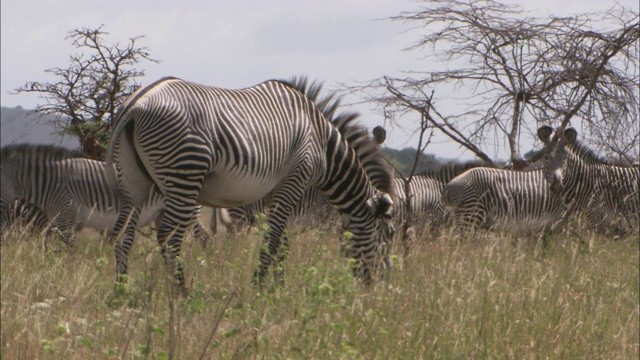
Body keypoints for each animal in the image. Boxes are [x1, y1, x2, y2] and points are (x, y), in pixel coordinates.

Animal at [0, 143, 210, 248]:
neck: (50, 183)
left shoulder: (67, 215)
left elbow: (66, 249)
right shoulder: (66, 221)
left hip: (188, 211)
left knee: (203, 237)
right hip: (162, 214)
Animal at [105, 76, 396, 290]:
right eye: (390, 233)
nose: (379, 287)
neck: (323, 144)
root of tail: (137, 105)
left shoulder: (274, 192)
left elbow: (282, 242)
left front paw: (278, 287)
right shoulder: (294, 180)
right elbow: (272, 239)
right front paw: (258, 288)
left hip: (136, 182)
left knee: (124, 236)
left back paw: (120, 293)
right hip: (185, 176)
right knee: (168, 237)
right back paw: (180, 293)